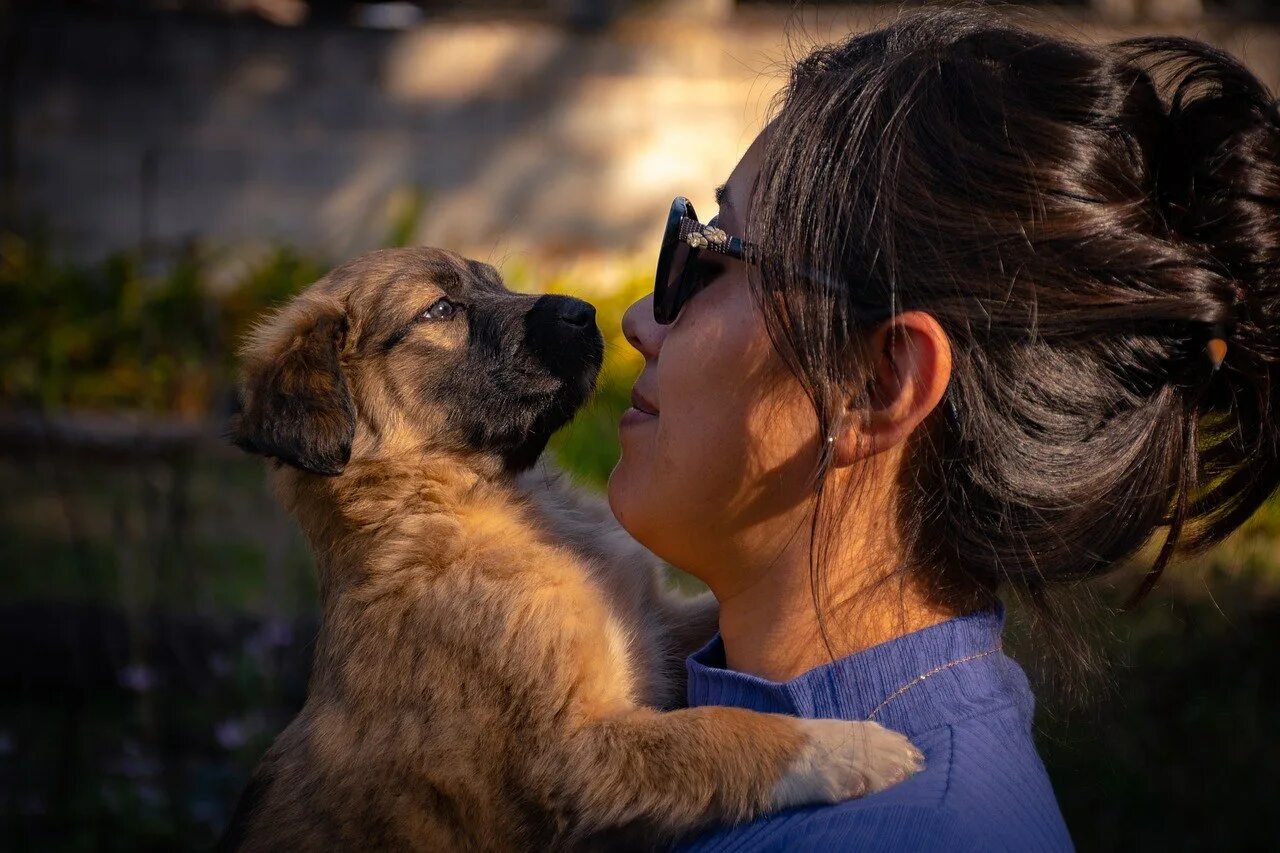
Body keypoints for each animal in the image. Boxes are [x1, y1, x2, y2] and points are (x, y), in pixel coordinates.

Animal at [220, 247, 921, 850]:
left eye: (497, 282)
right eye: (439, 310)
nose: (583, 311)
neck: (502, 500)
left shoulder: (657, 623)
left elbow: (707, 624)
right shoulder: (572, 754)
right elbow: (718, 732)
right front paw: (847, 745)